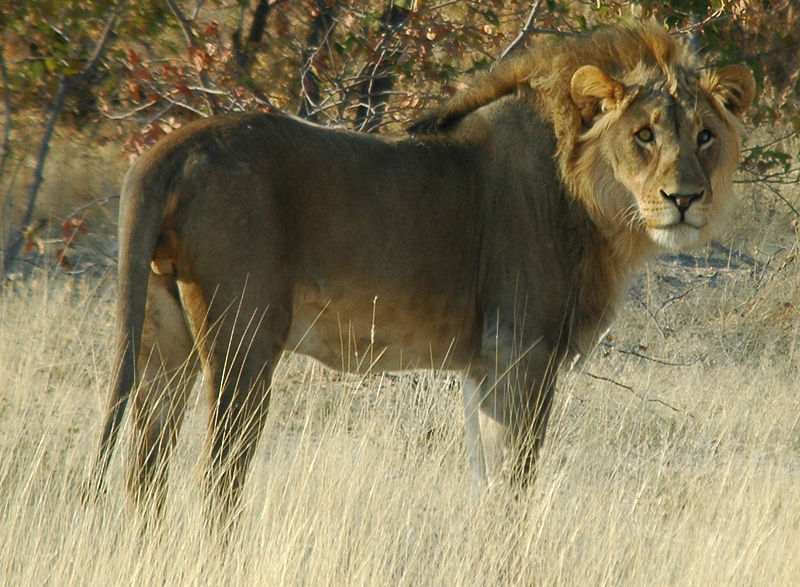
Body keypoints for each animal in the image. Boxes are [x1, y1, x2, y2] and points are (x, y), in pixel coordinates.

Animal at [89, 20, 756, 520]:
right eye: (643, 135)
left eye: (705, 136)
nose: (685, 198)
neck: (588, 193)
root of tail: (174, 146)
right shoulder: (522, 349)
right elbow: (514, 489)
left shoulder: (484, 363)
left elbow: (487, 485)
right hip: (244, 340)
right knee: (217, 481)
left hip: (163, 342)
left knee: (143, 476)